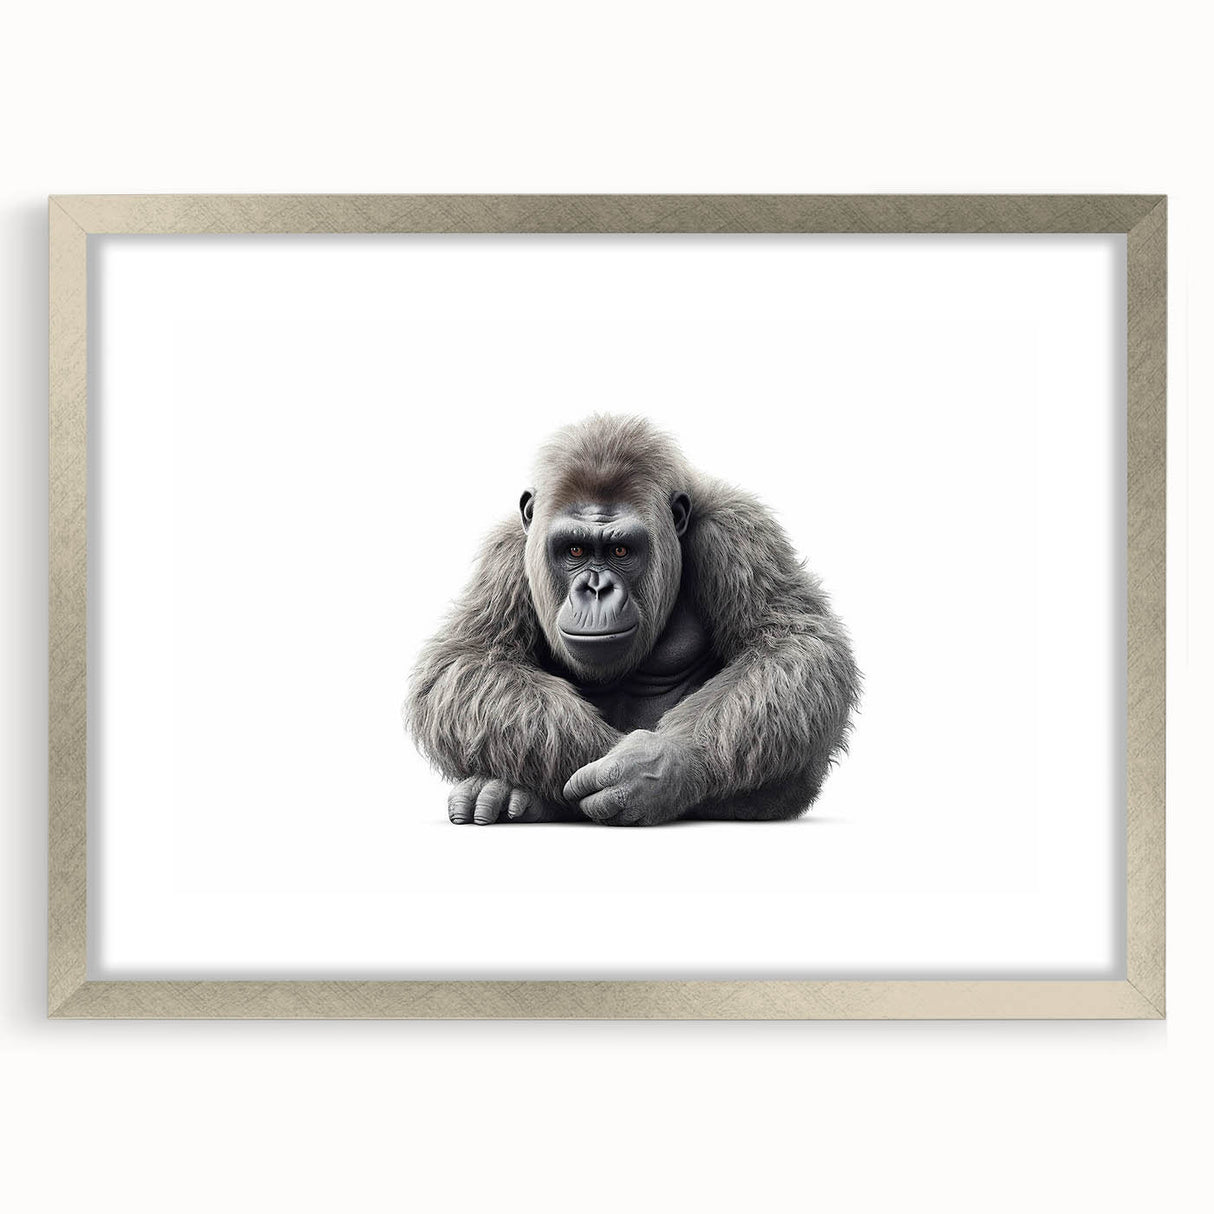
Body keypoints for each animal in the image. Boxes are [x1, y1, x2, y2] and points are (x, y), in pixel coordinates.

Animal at [404, 414, 859, 826]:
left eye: (621, 551)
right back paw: (504, 792)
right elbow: (468, 660)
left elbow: (791, 644)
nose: (597, 588)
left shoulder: (737, 530)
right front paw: (596, 763)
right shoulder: (507, 551)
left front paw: (658, 767)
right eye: (574, 550)